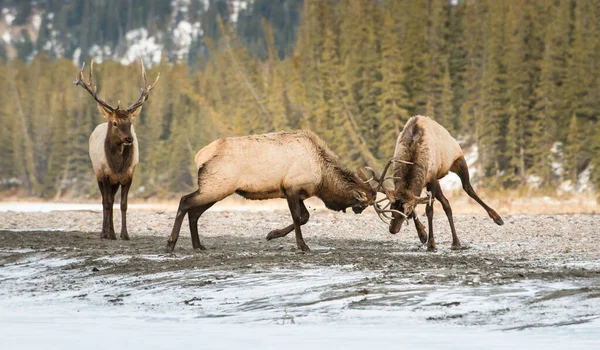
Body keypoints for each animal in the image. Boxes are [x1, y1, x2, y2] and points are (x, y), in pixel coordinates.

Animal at [74, 60, 161, 241]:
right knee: (104, 200)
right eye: (114, 123)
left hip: (114, 181)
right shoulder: (105, 174)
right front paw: (110, 234)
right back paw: (105, 232)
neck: (118, 165)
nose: (129, 139)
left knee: (112, 199)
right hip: (98, 174)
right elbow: (107, 203)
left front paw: (124, 234)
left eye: (130, 122)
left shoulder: (128, 175)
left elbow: (123, 204)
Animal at [164, 130, 378, 253]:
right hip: (216, 187)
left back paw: (198, 245)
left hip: (214, 189)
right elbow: (298, 217)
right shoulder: (292, 187)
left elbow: (304, 217)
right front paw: (302, 245)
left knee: (194, 212)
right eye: (364, 204)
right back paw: (171, 243)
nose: (358, 211)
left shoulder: (295, 192)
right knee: (185, 201)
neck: (323, 177)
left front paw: (272, 234)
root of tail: (200, 156)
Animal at [368, 116, 504, 250]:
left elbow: (429, 210)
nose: (392, 230)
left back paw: (497, 217)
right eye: (391, 208)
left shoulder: (432, 178)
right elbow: (417, 203)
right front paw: (423, 235)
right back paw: (455, 242)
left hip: (458, 161)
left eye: (405, 213)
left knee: (468, 188)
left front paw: (431, 243)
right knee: (447, 203)